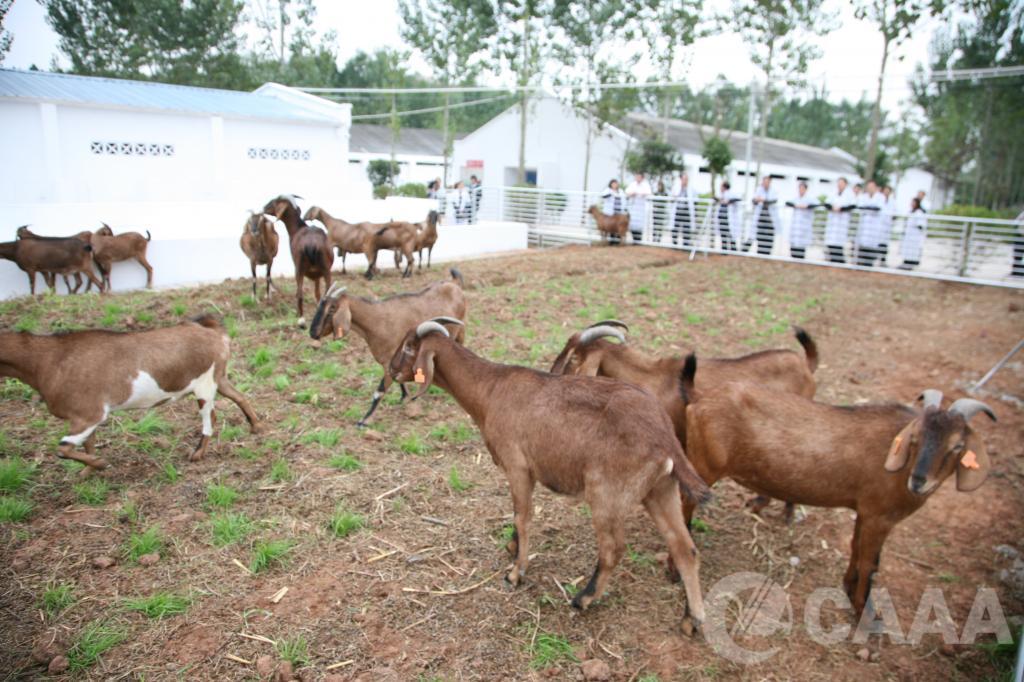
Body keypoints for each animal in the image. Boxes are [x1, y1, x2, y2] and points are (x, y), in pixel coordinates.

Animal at [0, 313, 262, 473]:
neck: (47, 361)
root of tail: (212, 331)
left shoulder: (89, 413)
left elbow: (64, 449)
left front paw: (99, 464)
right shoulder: (85, 418)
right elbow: (88, 443)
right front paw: (89, 471)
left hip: (204, 384)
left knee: (211, 418)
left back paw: (198, 454)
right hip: (218, 376)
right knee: (239, 396)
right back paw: (256, 427)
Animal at [262, 193, 333, 327]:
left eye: (275, 202)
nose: (264, 208)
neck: (298, 229)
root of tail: (311, 245)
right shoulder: (317, 275)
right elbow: (317, 293)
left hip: (299, 268)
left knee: (299, 293)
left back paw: (301, 320)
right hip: (325, 269)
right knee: (327, 293)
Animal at [307, 266, 468, 421]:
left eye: (331, 309)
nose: (312, 333)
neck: (376, 321)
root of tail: (454, 283)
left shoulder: (389, 361)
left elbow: (379, 392)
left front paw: (363, 421)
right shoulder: (395, 363)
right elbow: (399, 381)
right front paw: (404, 397)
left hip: (460, 330)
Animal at [387, 317, 708, 630]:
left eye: (409, 347)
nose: (390, 370)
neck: (491, 389)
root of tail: (664, 435)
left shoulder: (518, 466)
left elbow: (523, 516)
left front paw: (516, 573)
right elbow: (518, 514)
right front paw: (512, 547)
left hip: (607, 494)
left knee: (612, 548)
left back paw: (584, 598)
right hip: (660, 490)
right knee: (684, 548)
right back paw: (692, 619)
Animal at [684, 360, 995, 614]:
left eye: (957, 446)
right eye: (916, 437)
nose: (919, 481)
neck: (897, 459)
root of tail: (699, 399)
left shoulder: (865, 511)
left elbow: (856, 548)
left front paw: (848, 587)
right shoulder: (880, 517)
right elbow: (870, 563)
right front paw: (863, 611)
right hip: (703, 467)